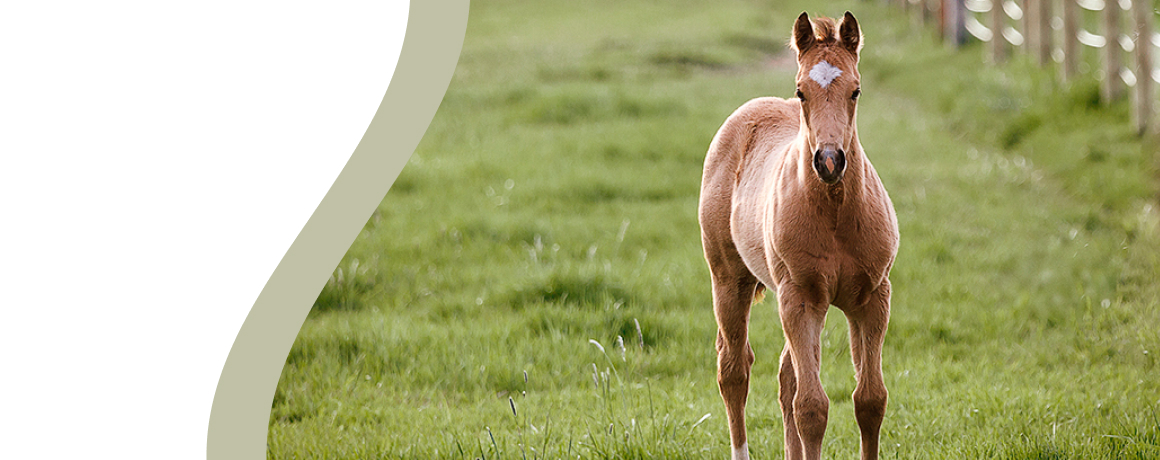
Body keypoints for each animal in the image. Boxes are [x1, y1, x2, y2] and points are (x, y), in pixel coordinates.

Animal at [697, 11, 899, 460]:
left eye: (856, 90)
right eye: (801, 91)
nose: (829, 160)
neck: (836, 214)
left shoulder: (873, 298)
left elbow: (870, 399)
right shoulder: (800, 298)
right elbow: (811, 407)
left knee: (786, 375)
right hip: (730, 280)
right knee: (734, 370)